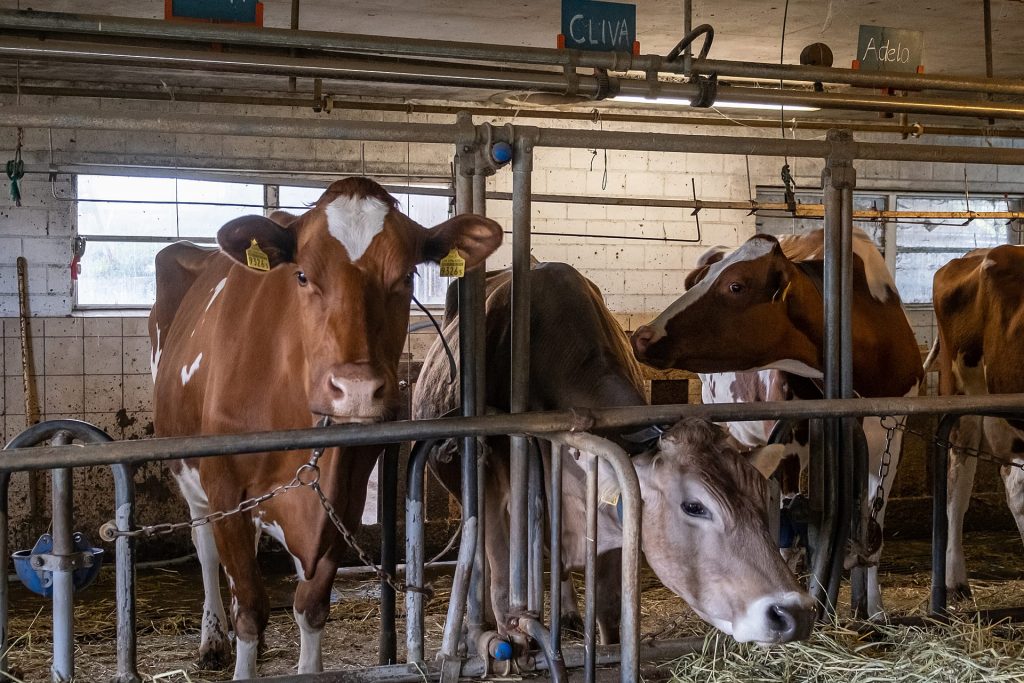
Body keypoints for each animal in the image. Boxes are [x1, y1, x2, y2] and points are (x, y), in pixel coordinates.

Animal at [149, 178, 501, 679]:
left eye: (407, 277)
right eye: (301, 276)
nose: (356, 389)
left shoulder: (343, 498)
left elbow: (311, 605)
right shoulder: (225, 488)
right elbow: (251, 608)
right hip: (192, 475)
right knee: (205, 548)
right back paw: (212, 637)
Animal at [415, 262, 815, 647]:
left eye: (761, 498)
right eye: (694, 506)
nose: (794, 613)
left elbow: (607, 609)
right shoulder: (499, 499)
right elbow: (502, 584)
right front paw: (507, 636)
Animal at [626, 229, 925, 618]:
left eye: (736, 285)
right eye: (700, 280)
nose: (642, 335)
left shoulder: (891, 432)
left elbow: (874, 524)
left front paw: (873, 608)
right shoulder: (788, 440)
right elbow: (788, 533)